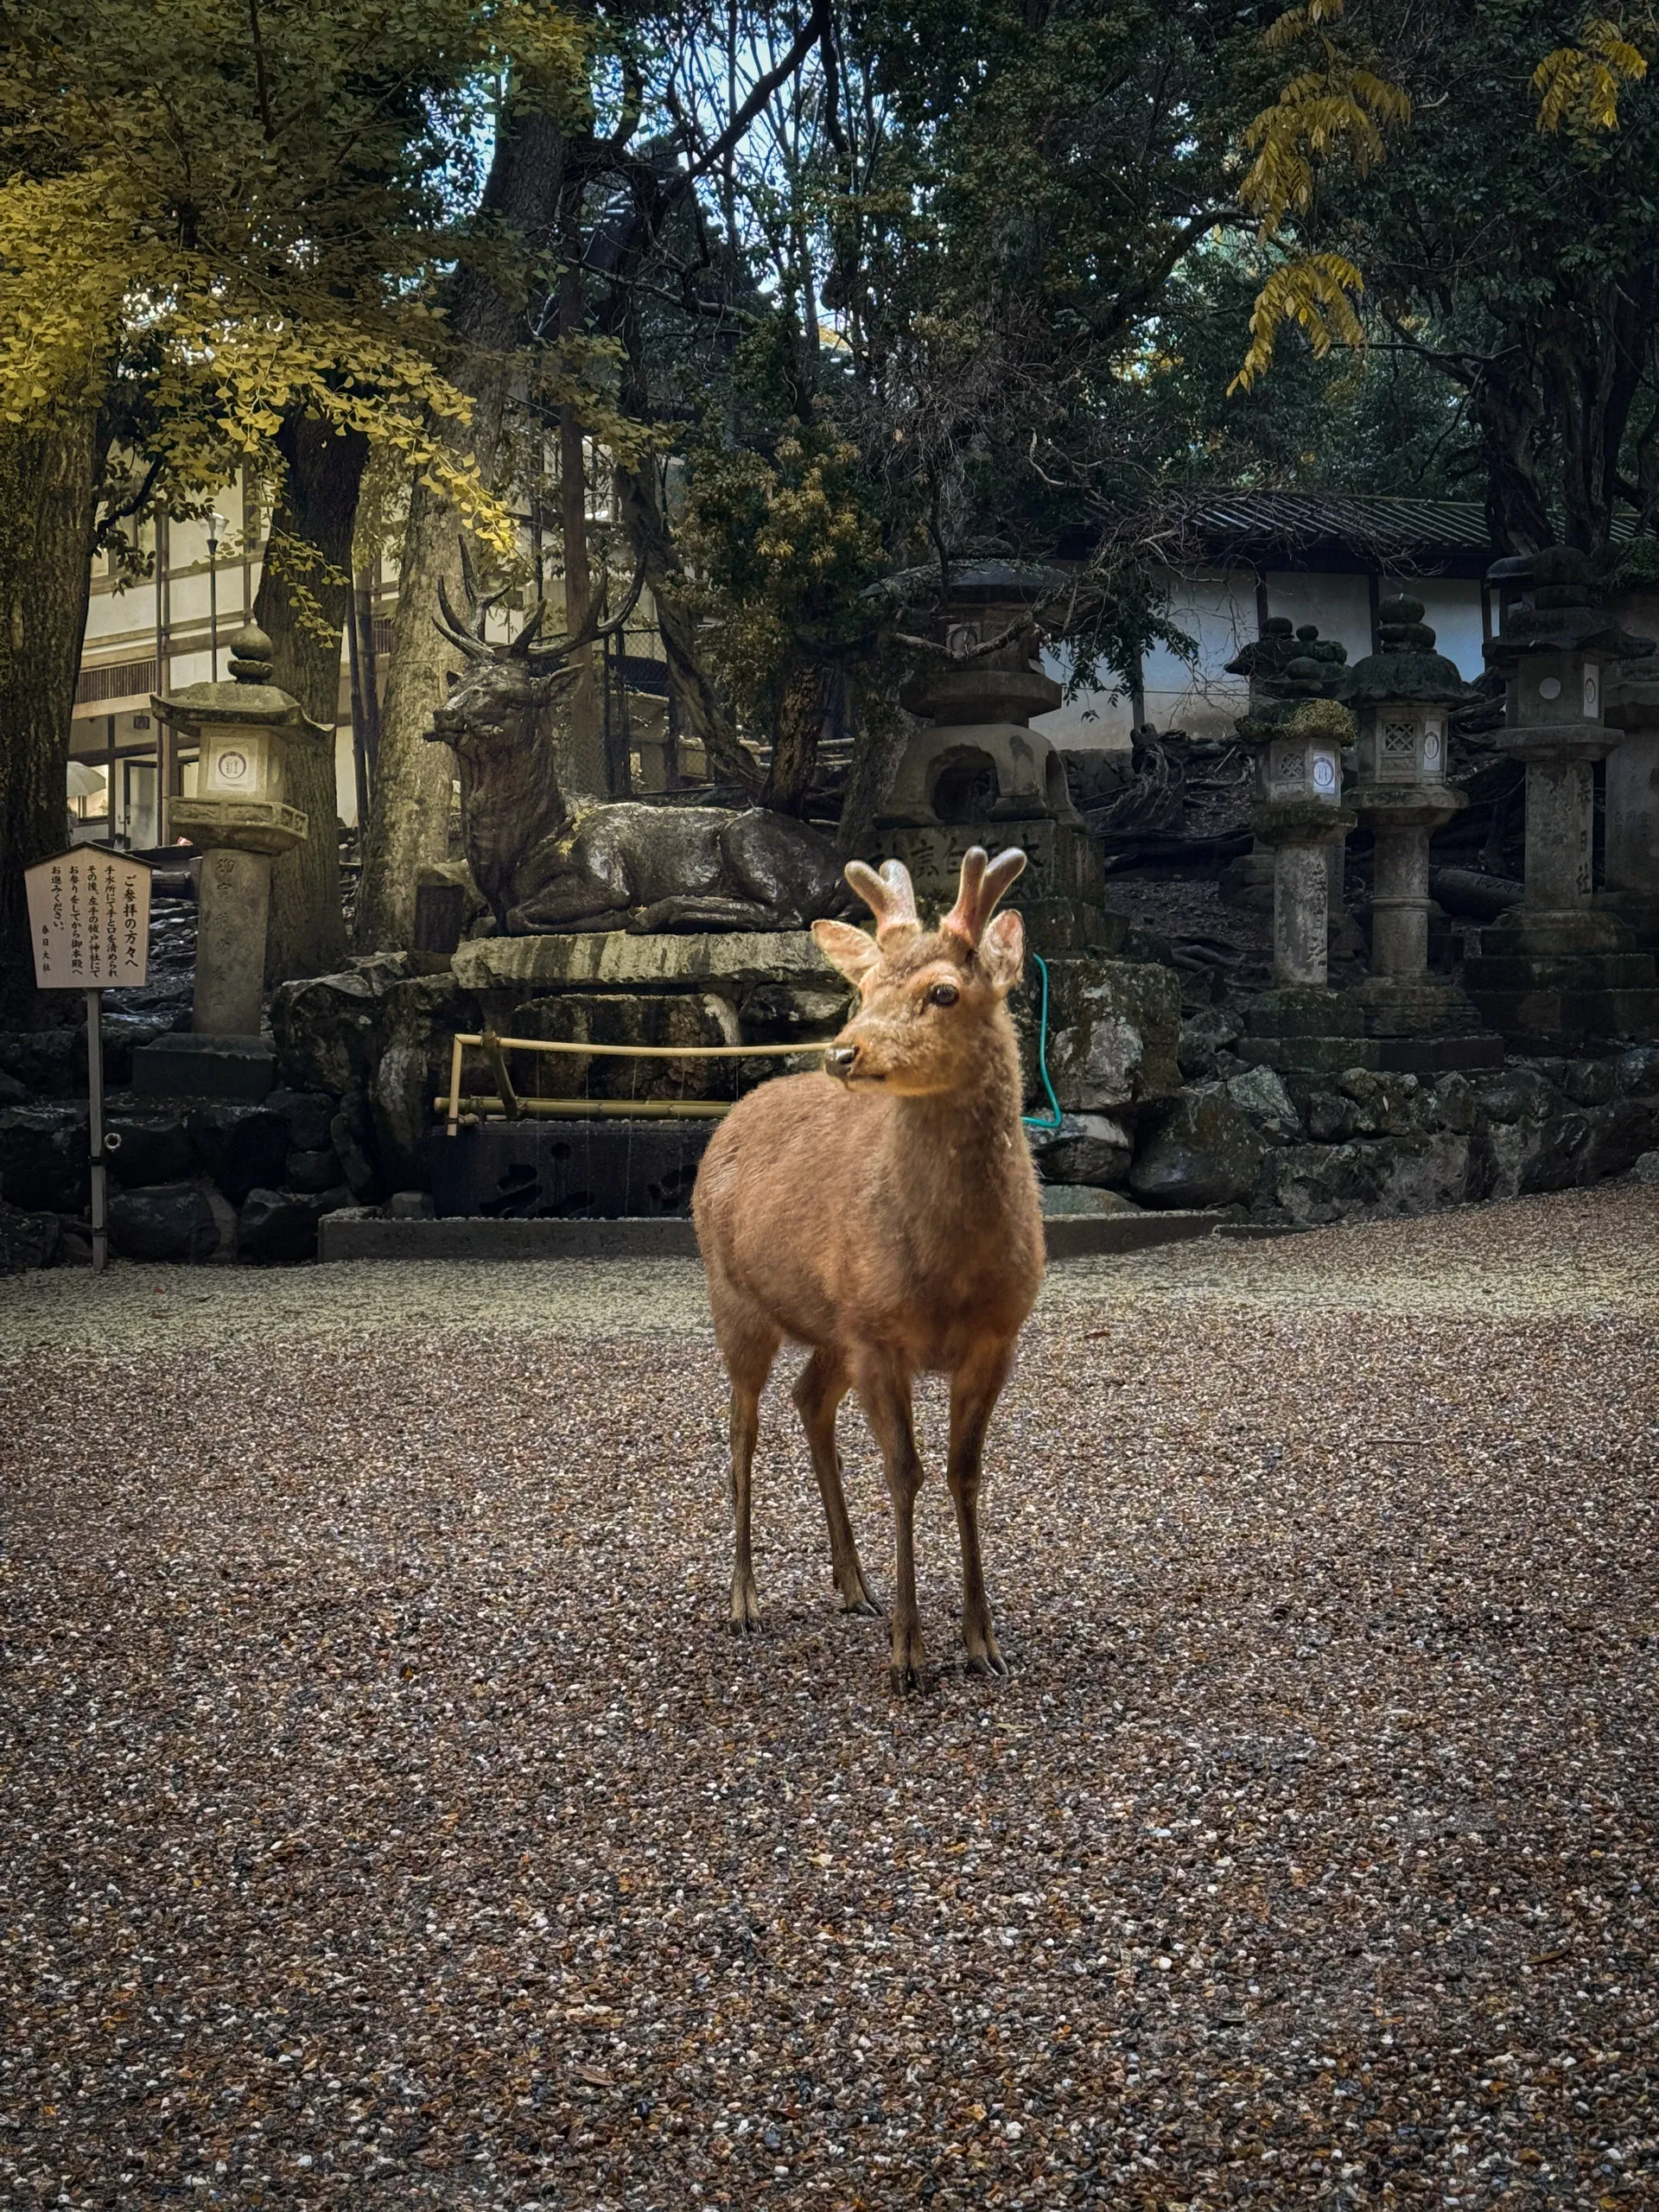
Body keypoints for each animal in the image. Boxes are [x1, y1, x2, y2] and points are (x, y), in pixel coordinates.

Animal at [692, 846, 1045, 1694]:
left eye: (943, 991)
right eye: (865, 988)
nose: (843, 1050)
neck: (951, 1276)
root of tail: (732, 1117)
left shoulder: (996, 1336)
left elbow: (964, 1471)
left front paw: (983, 1643)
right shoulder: (881, 1334)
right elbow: (903, 1472)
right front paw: (909, 1657)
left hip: (831, 1326)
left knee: (808, 1400)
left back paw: (854, 1585)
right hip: (734, 1300)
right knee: (741, 1430)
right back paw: (744, 1600)